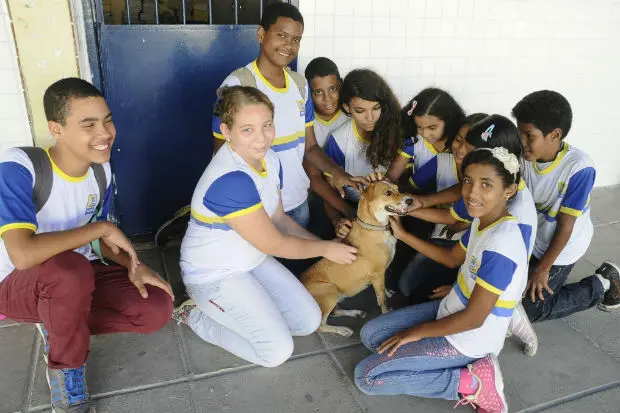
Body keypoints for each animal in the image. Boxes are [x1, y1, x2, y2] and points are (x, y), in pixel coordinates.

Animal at [300, 181, 412, 334]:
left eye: (397, 189)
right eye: (388, 193)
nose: (410, 200)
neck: (375, 228)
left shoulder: (379, 274)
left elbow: (382, 289)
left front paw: (388, 292)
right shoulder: (377, 273)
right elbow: (381, 299)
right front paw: (386, 313)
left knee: (334, 312)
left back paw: (356, 313)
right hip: (330, 291)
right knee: (321, 326)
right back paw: (342, 330)